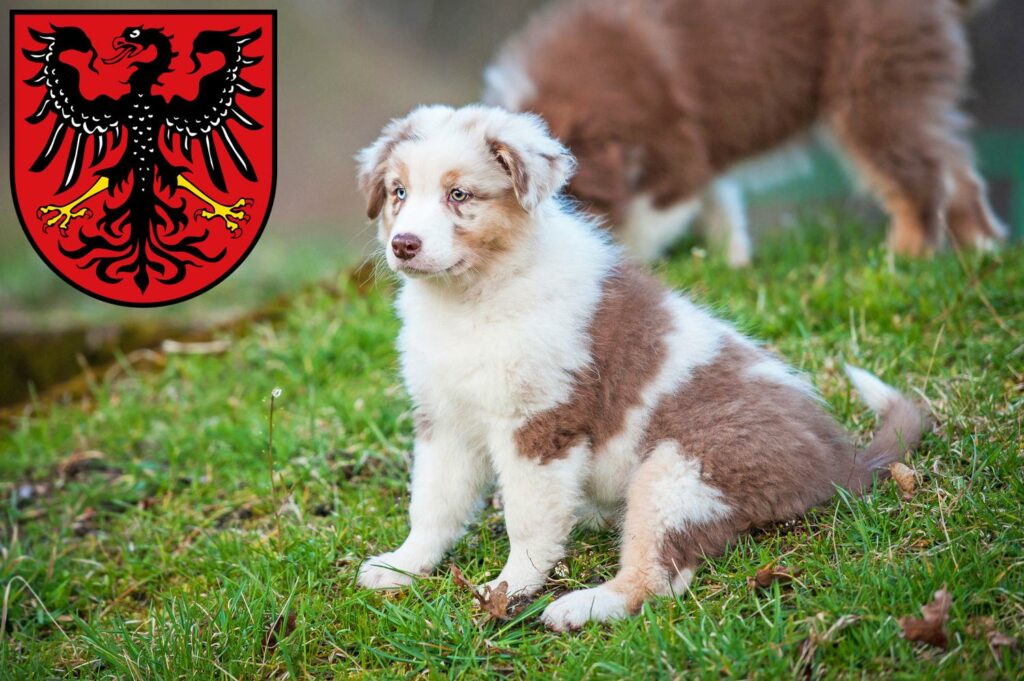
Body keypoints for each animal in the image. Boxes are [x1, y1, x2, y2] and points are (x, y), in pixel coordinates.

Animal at [356, 103, 933, 630]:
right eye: (398, 192)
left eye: (459, 195)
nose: (403, 245)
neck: (471, 300)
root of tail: (837, 459)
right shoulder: (444, 420)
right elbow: (433, 503)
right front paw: (402, 567)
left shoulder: (540, 422)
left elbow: (528, 520)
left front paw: (509, 588)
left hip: (680, 470)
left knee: (657, 578)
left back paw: (580, 607)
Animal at [483, 0, 1003, 261]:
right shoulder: (697, 156)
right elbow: (721, 205)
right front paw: (733, 262)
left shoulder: (675, 152)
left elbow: (647, 223)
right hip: (911, 85)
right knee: (956, 168)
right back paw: (983, 249)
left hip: (873, 86)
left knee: (921, 175)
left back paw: (904, 259)